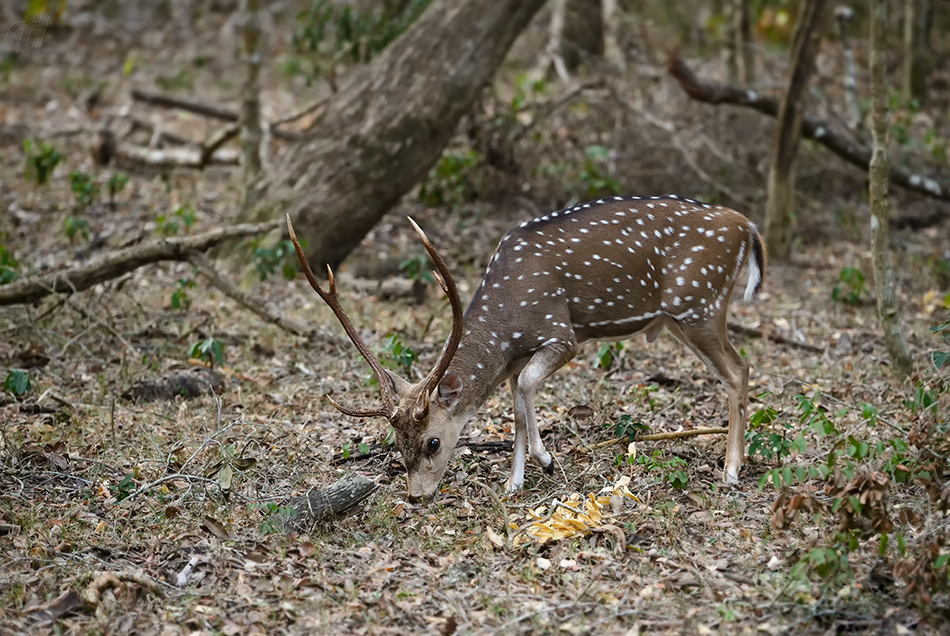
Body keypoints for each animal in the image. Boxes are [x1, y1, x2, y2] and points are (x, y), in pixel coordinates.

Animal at [286, 194, 768, 502]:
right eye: (396, 443)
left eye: (433, 443)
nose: (417, 496)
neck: (508, 324)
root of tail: (748, 227)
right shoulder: (516, 359)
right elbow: (517, 406)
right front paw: (514, 482)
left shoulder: (562, 334)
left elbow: (526, 388)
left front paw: (547, 460)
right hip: (684, 318)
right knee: (741, 370)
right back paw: (736, 462)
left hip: (700, 306)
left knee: (738, 370)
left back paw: (731, 470)